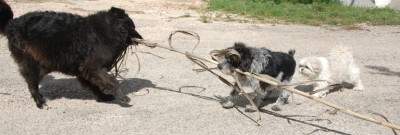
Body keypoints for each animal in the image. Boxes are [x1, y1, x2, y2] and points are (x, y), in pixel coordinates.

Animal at [0, 0, 144, 108]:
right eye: (133, 27)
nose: (140, 37)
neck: (106, 30)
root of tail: (11, 23)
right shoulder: (94, 68)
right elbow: (113, 82)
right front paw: (122, 96)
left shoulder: (85, 70)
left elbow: (94, 86)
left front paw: (102, 97)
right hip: (35, 64)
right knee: (32, 84)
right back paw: (40, 102)